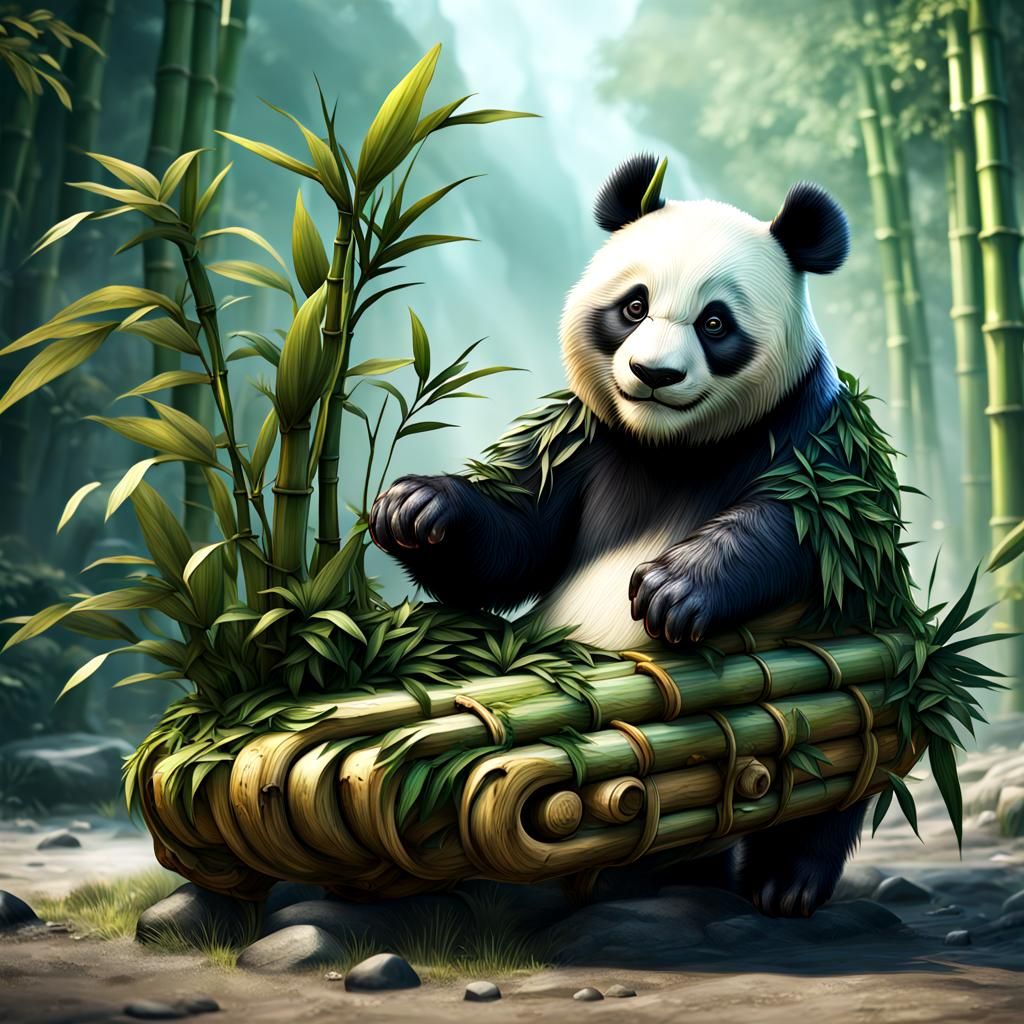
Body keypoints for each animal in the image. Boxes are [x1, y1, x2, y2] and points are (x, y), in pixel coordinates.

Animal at [370, 154, 865, 918]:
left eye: (715, 322)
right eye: (634, 306)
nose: (653, 374)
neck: (672, 448)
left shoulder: (809, 432)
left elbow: (796, 527)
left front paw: (672, 591)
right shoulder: (584, 439)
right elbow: (518, 538)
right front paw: (417, 509)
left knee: (826, 769)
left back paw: (784, 884)